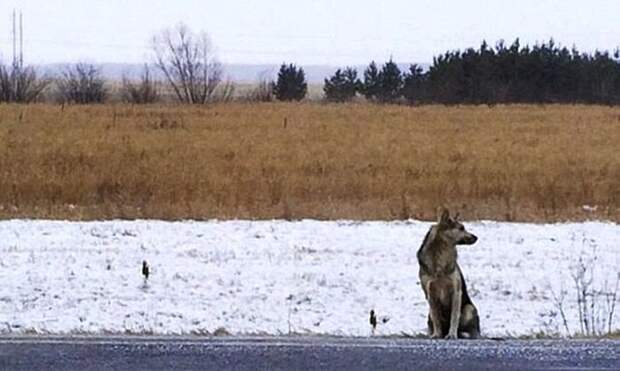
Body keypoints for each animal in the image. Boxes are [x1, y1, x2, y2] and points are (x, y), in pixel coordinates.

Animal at [416, 209, 480, 340]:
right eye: (461, 228)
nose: (476, 237)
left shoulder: (456, 291)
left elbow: (454, 317)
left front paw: (452, 335)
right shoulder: (430, 293)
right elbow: (436, 318)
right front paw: (437, 334)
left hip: (469, 309)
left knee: (470, 329)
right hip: (429, 314)